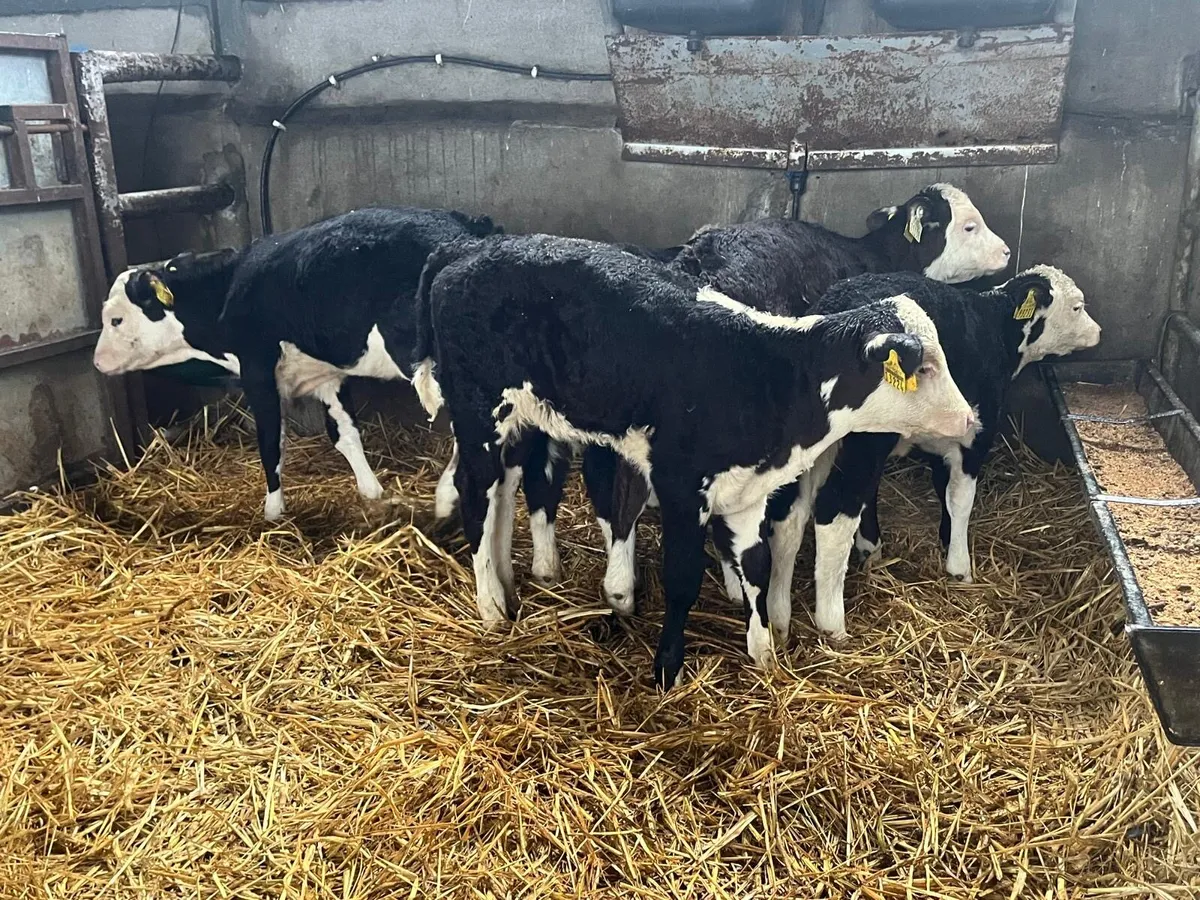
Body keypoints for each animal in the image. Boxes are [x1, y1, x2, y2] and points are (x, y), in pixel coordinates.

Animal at [92, 206, 501, 521]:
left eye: (116, 319)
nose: (97, 363)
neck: (225, 293)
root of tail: (467, 229)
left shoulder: (257, 370)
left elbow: (271, 441)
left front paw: (273, 512)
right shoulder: (326, 378)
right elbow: (345, 435)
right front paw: (371, 492)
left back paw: (447, 496)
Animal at [412, 233, 975, 688]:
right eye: (922, 367)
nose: (970, 418)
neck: (767, 375)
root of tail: (466, 252)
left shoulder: (747, 493)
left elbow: (757, 566)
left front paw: (764, 655)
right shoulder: (683, 486)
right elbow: (682, 578)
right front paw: (667, 669)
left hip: (517, 418)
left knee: (502, 491)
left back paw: (507, 582)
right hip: (477, 411)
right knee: (475, 495)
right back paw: (490, 606)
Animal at [761, 266, 1101, 645]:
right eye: (1077, 306)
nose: (1098, 332)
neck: (994, 328)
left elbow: (936, 494)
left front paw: (892, 548)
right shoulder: (974, 438)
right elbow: (960, 500)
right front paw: (960, 567)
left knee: (790, 516)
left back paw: (779, 617)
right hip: (866, 441)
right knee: (834, 512)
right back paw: (832, 624)